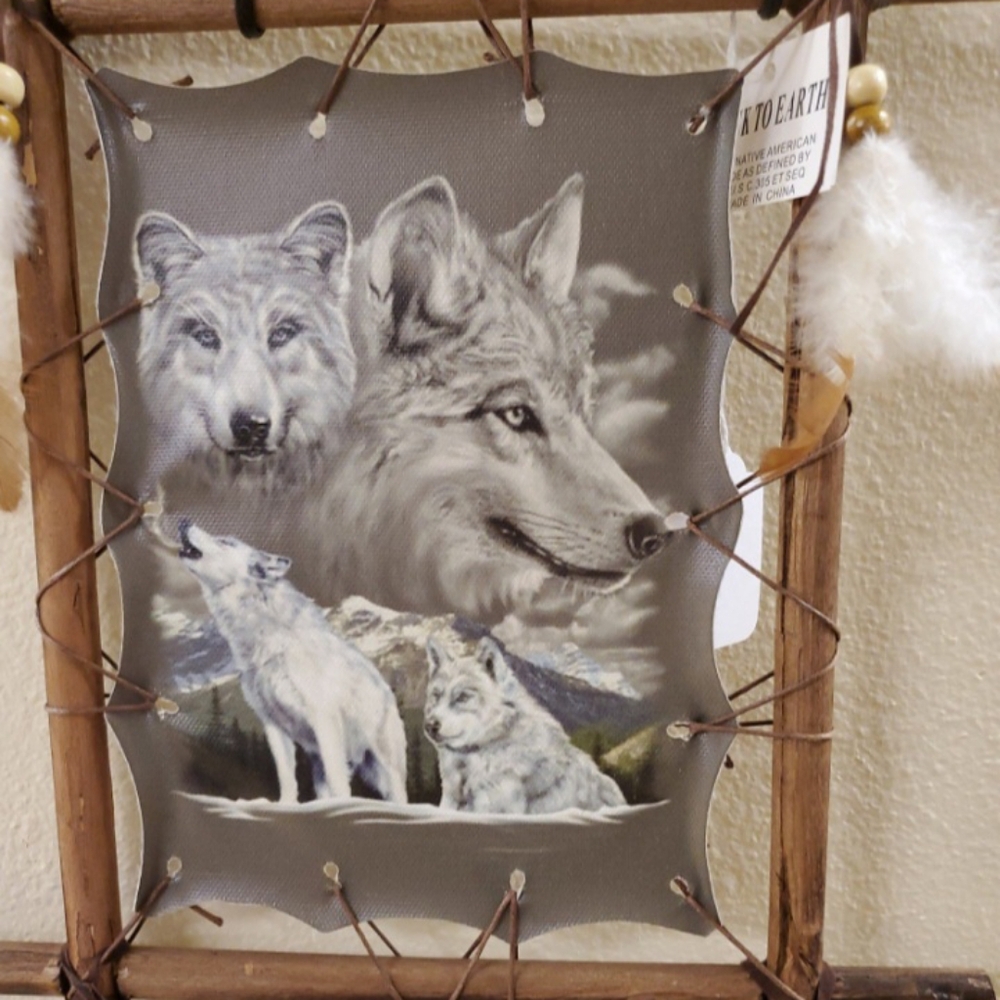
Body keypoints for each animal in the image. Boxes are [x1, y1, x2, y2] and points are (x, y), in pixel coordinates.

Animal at [177, 521, 407, 805]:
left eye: (225, 542)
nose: (184, 522)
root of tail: (387, 691)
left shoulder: (324, 720)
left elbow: (338, 781)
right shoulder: (273, 725)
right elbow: (286, 777)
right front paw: (286, 806)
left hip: (384, 770)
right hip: (322, 761)